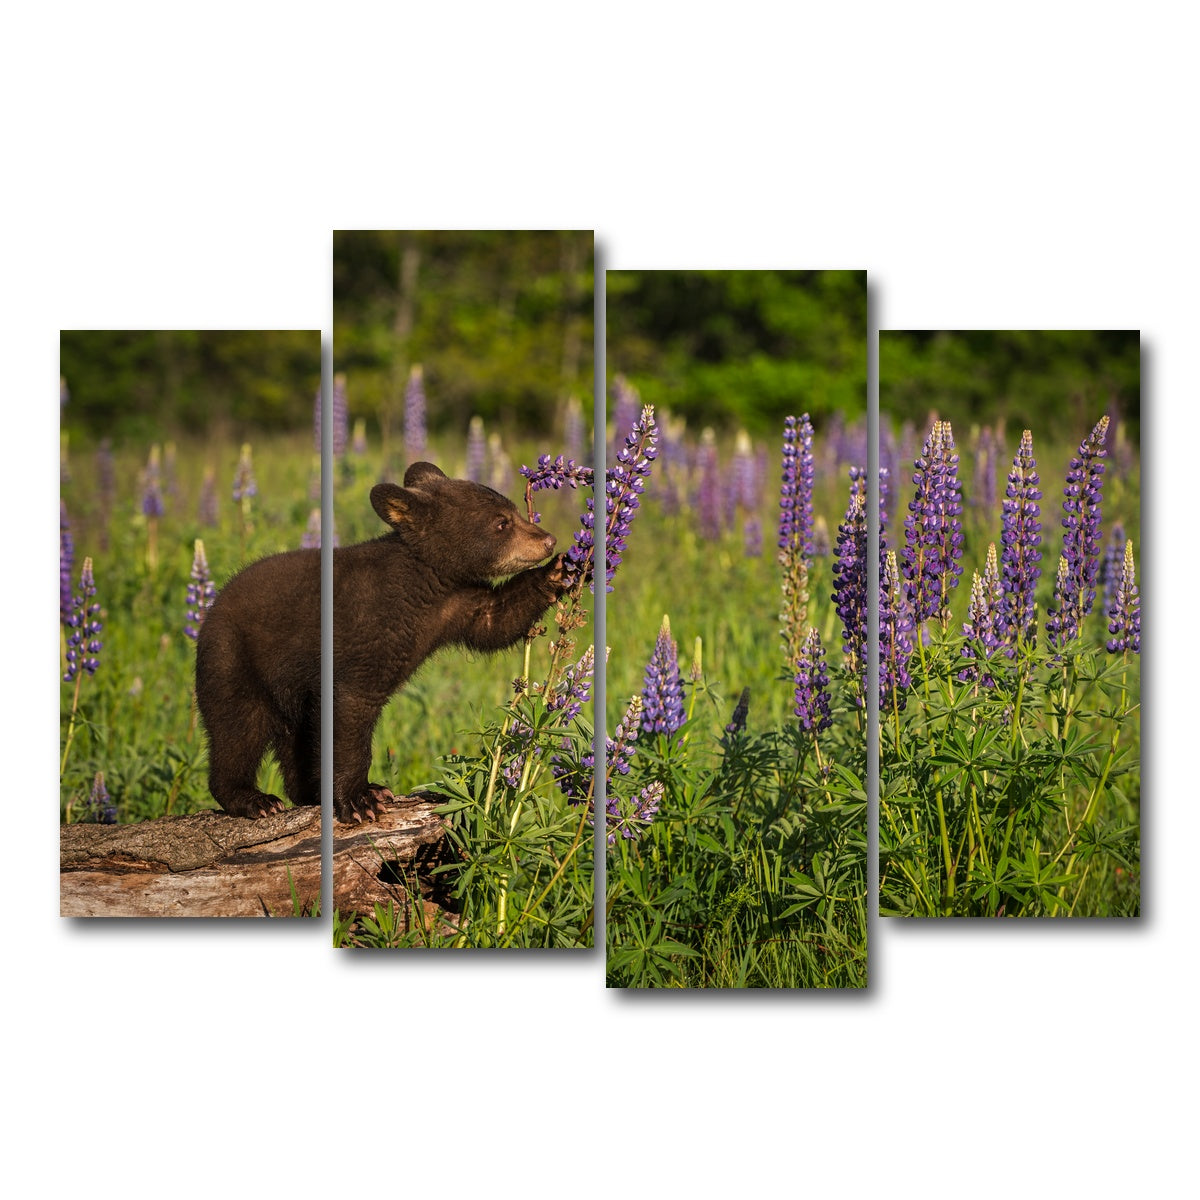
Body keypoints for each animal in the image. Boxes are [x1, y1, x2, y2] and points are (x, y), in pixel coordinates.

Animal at [194, 461, 569, 823]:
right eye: (501, 523)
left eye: (515, 512)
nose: (549, 540)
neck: (425, 584)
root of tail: (211, 610)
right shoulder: (363, 634)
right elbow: (350, 710)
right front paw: (360, 799)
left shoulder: (457, 604)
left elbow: (496, 620)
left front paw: (560, 571)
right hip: (233, 660)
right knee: (237, 728)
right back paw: (254, 800)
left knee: (295, 738)